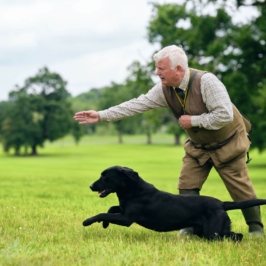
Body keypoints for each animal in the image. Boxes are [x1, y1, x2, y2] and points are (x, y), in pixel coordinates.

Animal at [83, 166, 266, 241]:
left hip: (213, 232)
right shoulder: (123, 211)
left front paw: (87, 221)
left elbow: (102, 213)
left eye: (106, 177)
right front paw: (105, 224)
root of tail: (221, 203)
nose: (90, 186)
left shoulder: (127, 218)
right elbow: (110, 209)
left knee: (236, 236)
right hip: (206, 231)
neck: (132, 190)